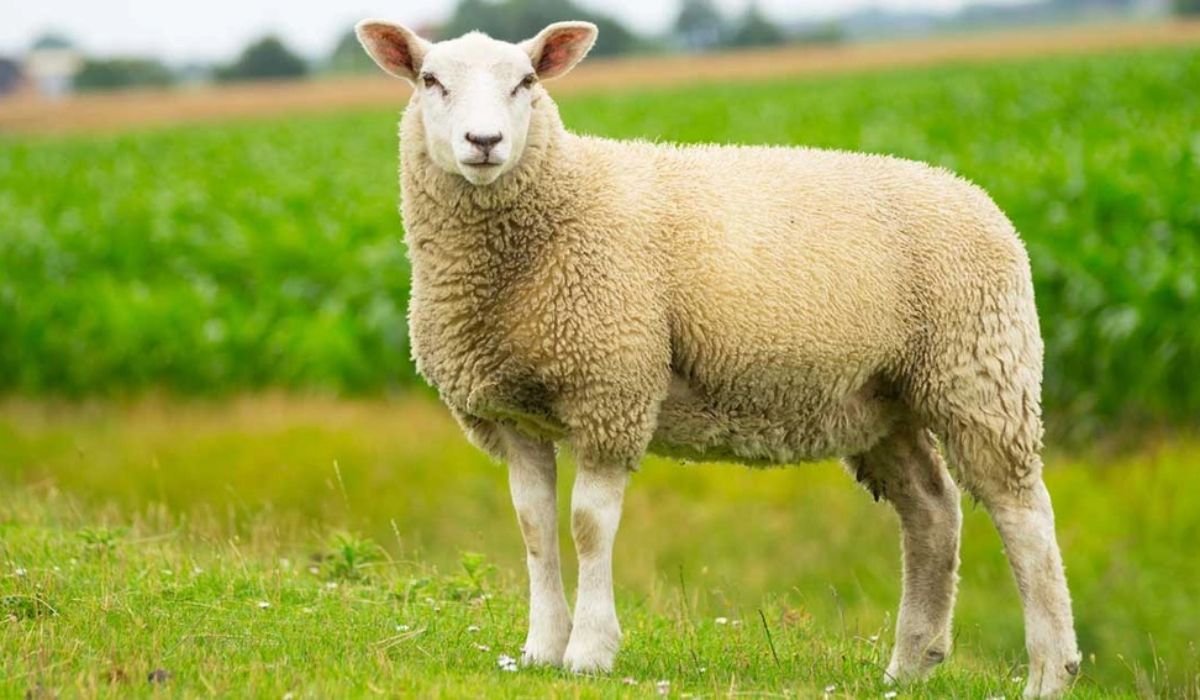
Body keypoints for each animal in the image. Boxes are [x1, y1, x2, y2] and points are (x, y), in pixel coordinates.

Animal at [355, 20, 1082, 698]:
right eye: (430, 81)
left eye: (526, 82)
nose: (484, 143)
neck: (556, 207)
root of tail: (980, 200)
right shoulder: (515, 413)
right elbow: (534, 526)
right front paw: (540, 649)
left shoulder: (612, 386)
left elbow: (588, 526)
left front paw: (589, 652)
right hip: (884, 400)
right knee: (932, 510)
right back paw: (910, 664)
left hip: (979, 372)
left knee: (1025, 516)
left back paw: (1050, 671)